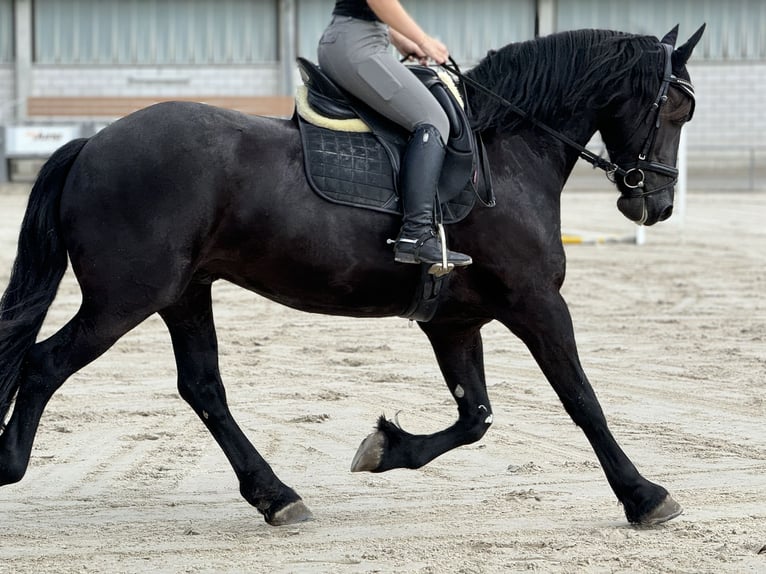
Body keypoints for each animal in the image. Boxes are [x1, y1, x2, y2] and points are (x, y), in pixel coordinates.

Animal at [0, 25, 708, 528]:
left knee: (202, 388)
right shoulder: (536, 303)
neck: (504, 152)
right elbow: (582, 400)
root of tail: (91, 144)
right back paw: (10, 463)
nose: (656, 206)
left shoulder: (455, 321)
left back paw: (275, 495)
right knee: (44, 363)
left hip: (184, 294)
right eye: (675, 108)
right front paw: (644, 496)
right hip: (125, 299)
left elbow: (475, 415)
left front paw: (385, 449)